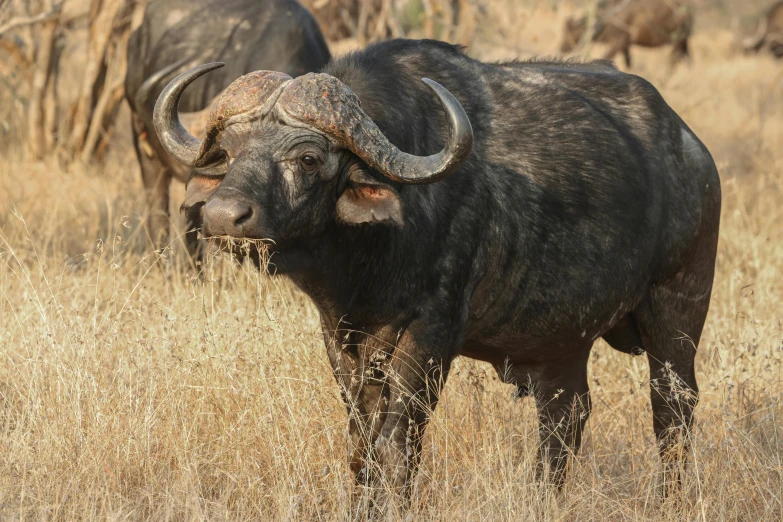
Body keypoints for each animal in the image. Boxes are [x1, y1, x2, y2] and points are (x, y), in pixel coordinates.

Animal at [153, 38, 724, 510]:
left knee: (672, 410)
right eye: (230, 152)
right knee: (565, 416)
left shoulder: (431, 334)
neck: (369, 264)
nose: (223, 216)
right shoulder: (340, 336)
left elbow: (398, 441)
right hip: (564, 340)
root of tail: (694, 151)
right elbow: (361, 441)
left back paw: (671, 499)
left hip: (678, 311)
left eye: (309, 158)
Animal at [560, 0, 696, 67]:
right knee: (688, 61)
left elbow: (606, 57)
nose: (562, 47)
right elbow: (628, 63)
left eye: (571, 31)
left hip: (677, 42)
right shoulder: (625, 46)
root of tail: (687, 14)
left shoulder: (618, 43)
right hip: (684, 44)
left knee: (673, 62)